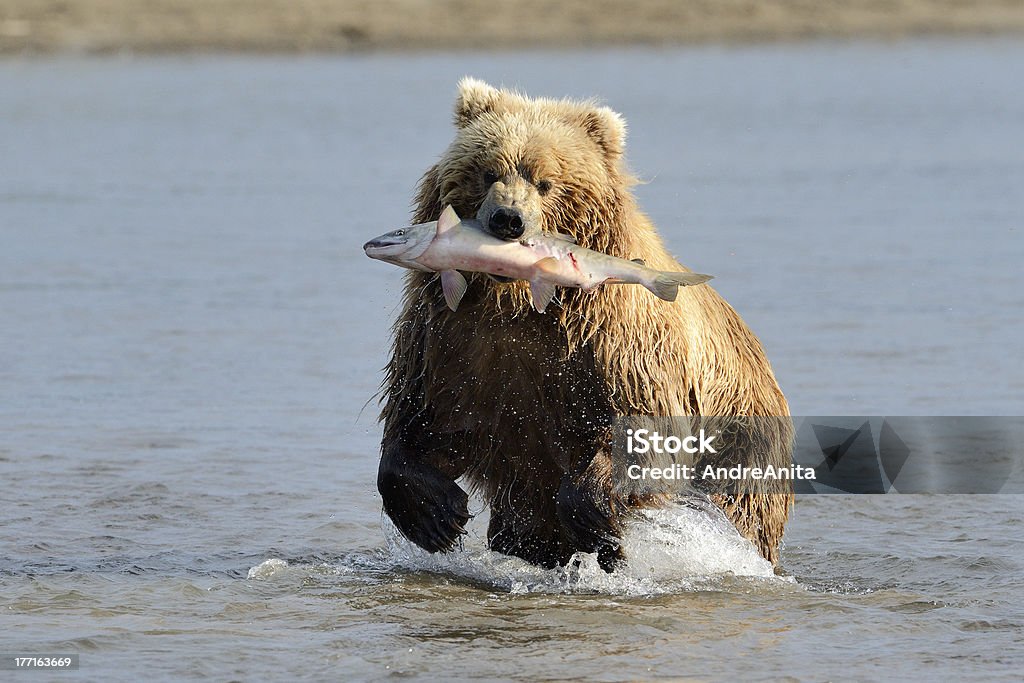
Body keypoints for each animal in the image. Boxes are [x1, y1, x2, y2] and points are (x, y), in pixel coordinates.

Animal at [376, 77, 790, 569]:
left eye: (546, 182)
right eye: (489, 171)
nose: (508, 219)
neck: (515, 303)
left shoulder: (615, 342)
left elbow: (645, 425)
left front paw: (592, 514)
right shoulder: (452, 337)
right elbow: (426, 411)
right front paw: (436, 513)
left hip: (741, 440)